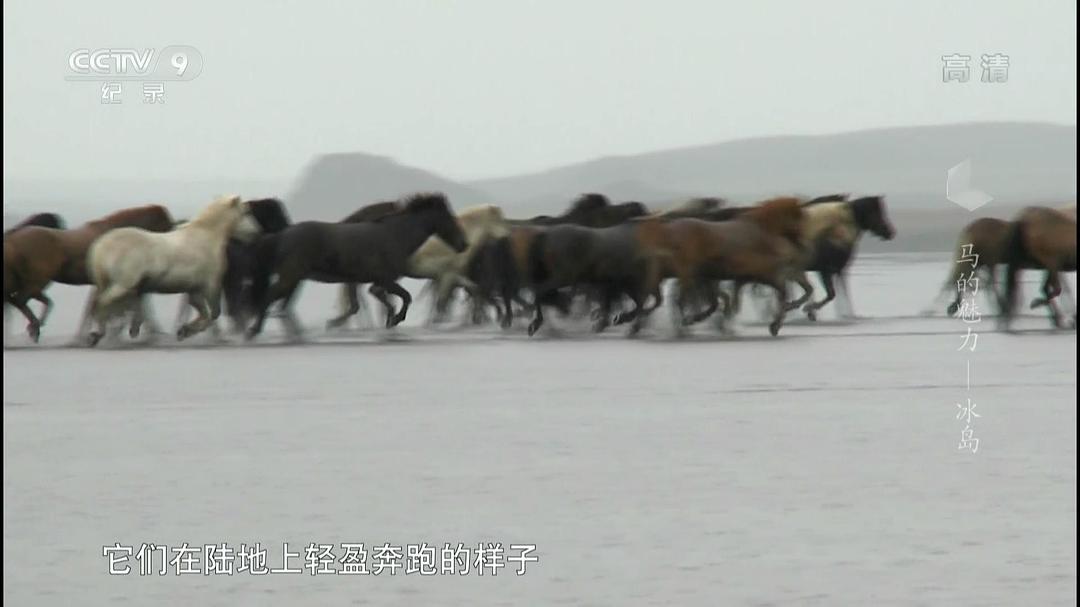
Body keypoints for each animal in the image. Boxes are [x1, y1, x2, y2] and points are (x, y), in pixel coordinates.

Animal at [3, 204, 174, 341]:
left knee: (18, 300)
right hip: (38, 280)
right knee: (21, 300)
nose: (169, 249)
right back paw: (35, 327)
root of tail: (13, 238)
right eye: (166, 225)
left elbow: (94, 307)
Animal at [84, 195, 260, 346]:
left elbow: (204, 313)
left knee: (105, 304)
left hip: (111, 283)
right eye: (245, 212)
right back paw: (97, 334)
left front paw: (184, 331)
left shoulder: (194, 289)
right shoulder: (210, 284)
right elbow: (214, 313)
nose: (255, 232)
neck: (205, 238)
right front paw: (185, 331)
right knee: (102, 302)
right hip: (124, 284)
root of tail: (102, 246)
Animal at [245, 193, 468, 341]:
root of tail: (281, 235)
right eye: (450, 219)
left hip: (295, 278)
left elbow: (381, 299)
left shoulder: (376, 281)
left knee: (280, 304)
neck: (395, 235)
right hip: (291, 276)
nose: (464, 245)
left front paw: (389, 322)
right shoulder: (384, 279)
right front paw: (395, 320)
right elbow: (404, 297)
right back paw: (254, 331)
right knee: (270, 298)